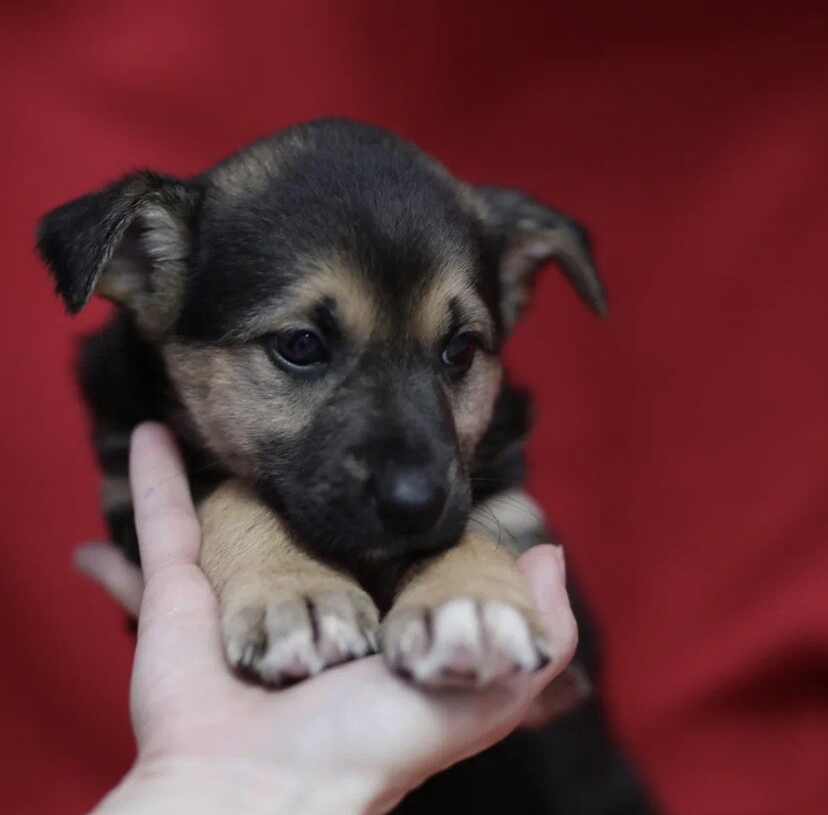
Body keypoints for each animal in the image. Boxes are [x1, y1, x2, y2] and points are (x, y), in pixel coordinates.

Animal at [38, 118, 604, 692]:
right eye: (301, 345)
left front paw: (470, 600)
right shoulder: (129, 493)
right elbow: (233, 493)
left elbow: (472, 532)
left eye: (461, 348)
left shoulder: (566, 660)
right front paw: (299, 593)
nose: (415, 504)